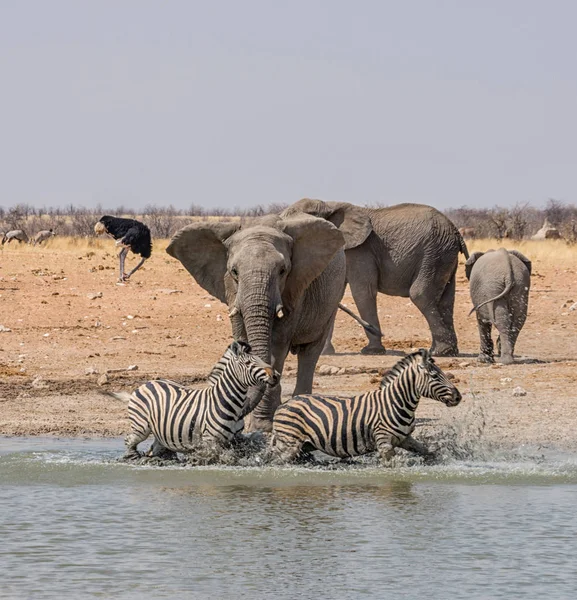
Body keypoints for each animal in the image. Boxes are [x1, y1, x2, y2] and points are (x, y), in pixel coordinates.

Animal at [109, 342, 280, 460]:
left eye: (260, 359)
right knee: (129, 440)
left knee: (154, 448)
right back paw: (132, 458)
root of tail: (147, 383)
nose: (276, 376)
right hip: (141, 427)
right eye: (248, 363)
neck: (230, 403)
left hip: (161, 433)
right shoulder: (210, 440)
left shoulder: (235, 439)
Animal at [166, 211, 346, 432]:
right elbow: (242, 338)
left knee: (310, 351)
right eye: (234, 271)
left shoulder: (295, 289)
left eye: (283, 271)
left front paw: (261, 427)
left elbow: (276, 346)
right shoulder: (231, 291)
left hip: (332, 299)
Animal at [268, 350, 460, 466]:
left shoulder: (405, 438)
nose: (459, 397)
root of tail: (284, 404)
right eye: (434, 376)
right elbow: (392, 467)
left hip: (304, 445)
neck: (396, 403)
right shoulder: (384, 443)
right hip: (289, 444)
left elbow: (428, 452)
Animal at [282, 199, 468, 356]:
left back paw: (439, 352)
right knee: (445, 301)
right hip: (444, 256)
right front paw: (325, 353)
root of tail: (456, 231)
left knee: (420, 295)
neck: (330, 204)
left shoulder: (360, 251)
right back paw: (448, 352)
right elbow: (334, 294)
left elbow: (363, 292)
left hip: (434, 255)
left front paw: (371, 351)